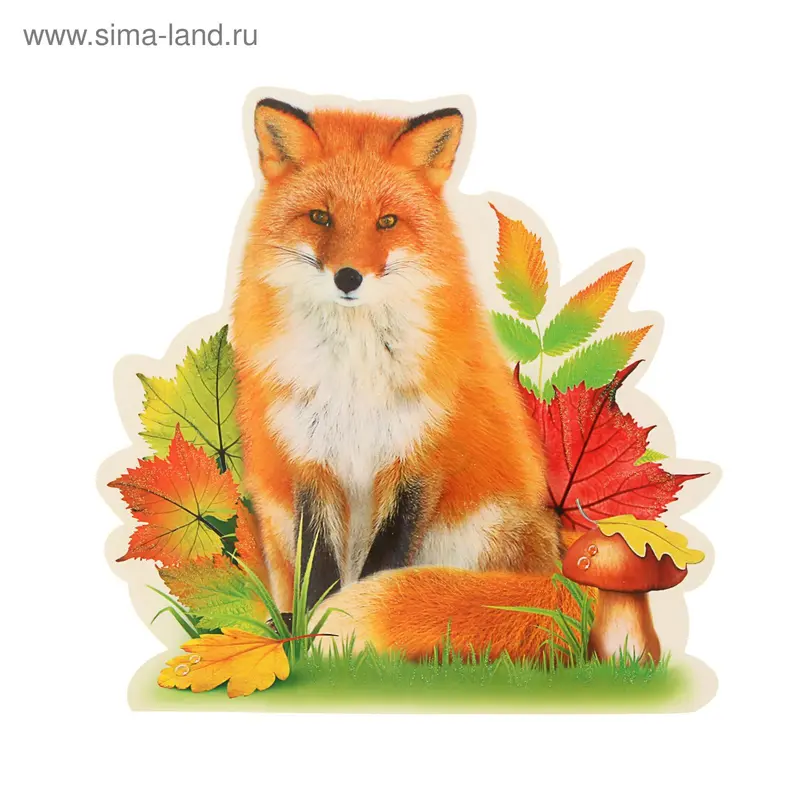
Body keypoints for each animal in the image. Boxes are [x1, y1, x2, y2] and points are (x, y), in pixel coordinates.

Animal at [232, 97, 583, 662]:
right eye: (320, 216)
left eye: (387, 221)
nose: (348, 277)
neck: (353, 372)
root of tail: (557, 572)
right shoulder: (308, 457)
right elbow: (319, 569)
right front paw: (311, 636)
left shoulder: (418, 457)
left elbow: (386, 562)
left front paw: (342, 645)